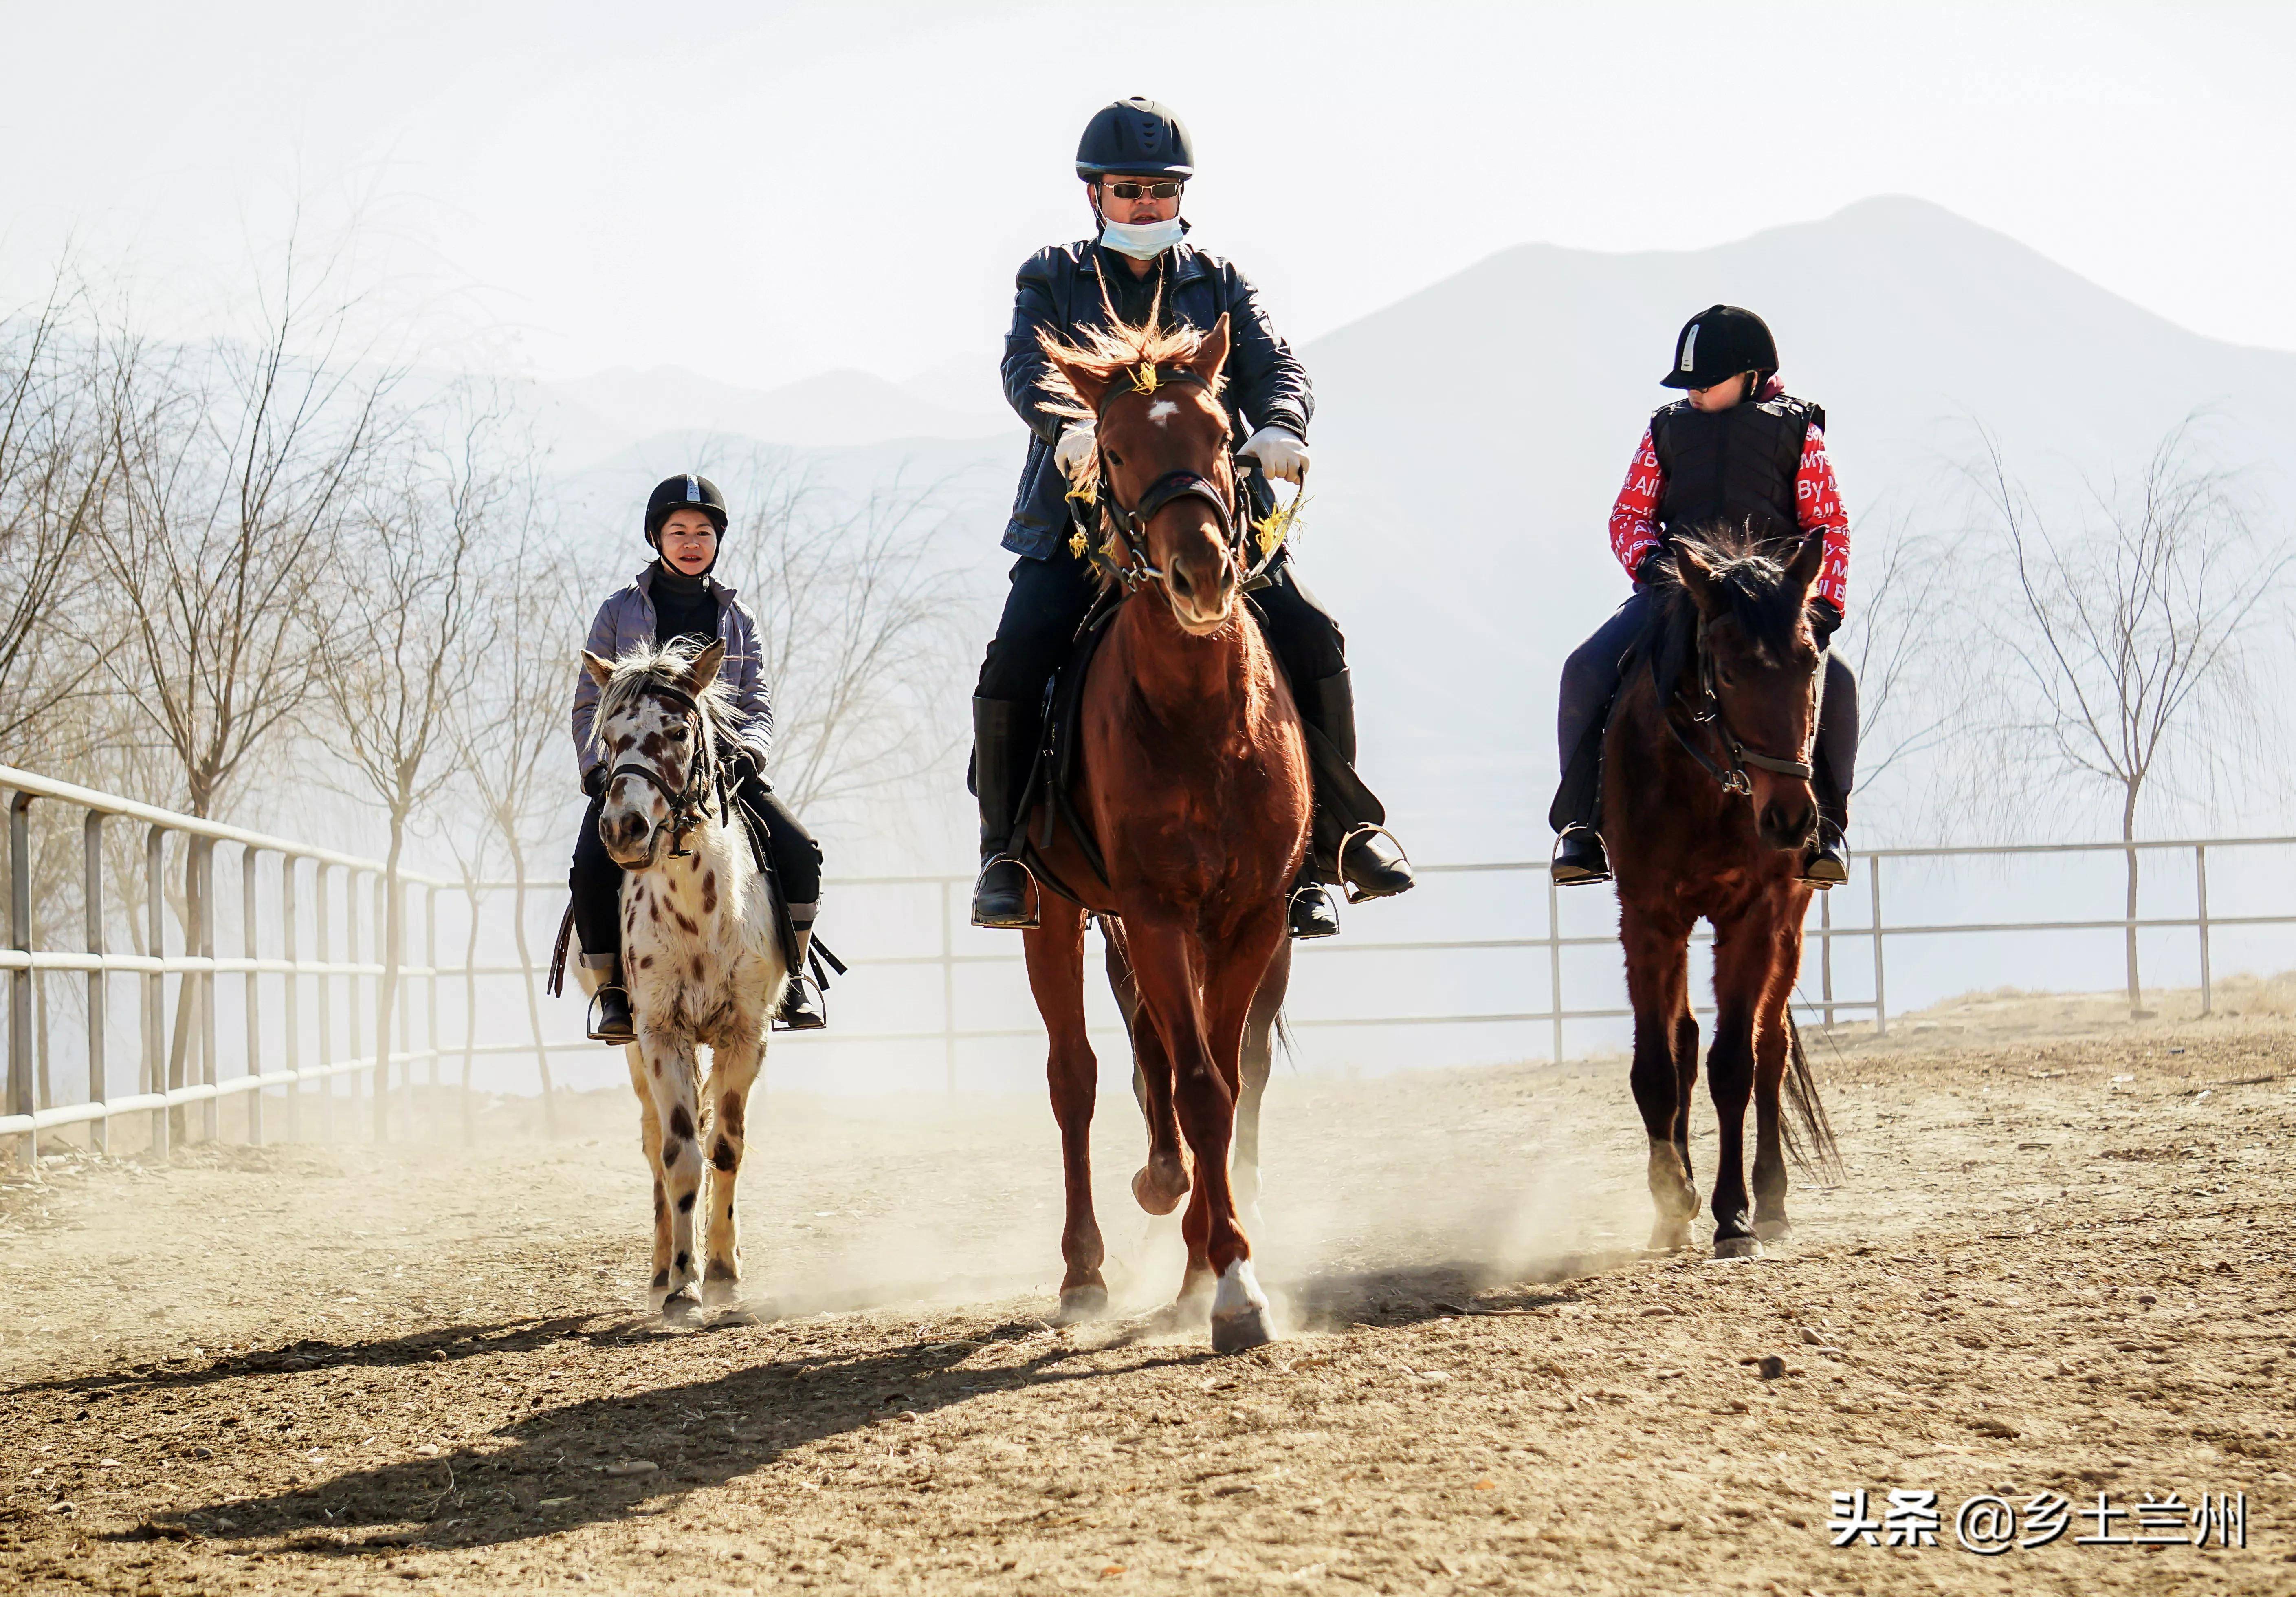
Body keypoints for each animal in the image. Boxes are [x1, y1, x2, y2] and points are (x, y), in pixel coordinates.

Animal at [578, 643, 794, 1314]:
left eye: (677, 731)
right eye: (610, 737)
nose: (623, 828)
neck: (697, 911)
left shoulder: (745, 1034)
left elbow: (725, 1146)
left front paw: (722, 1270)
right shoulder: (660, 1033)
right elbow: (679, 1155)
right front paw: (683, 1282)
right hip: (631, 1047)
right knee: (655, 1144)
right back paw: (659, 1274)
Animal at [1024, 310, 1313, 1351]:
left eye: (1224, 435)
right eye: (1111, 449)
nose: (1200, 574)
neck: (1199, 718)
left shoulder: (1253, 915)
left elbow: (1220, 1082)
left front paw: (1215, 1265)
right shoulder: (1150, 912)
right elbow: (1193, 1088)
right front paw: (1227, 1281)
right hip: (1052, 914)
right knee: (1074, 1077)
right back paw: (1084, 1268)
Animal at [1598, 524, 1846, 1259]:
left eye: (1809, 664)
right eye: (1729, 671)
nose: (1791, 819)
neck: (1705, 782)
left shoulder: (1754, 917)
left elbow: (1735, 1063)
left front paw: (1732, 1214)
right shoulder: (1649, 917)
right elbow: (1658, 1063)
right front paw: (1671, 1195)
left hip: (1790, 926)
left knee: (1771, 1051)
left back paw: (1772, 1204)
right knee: (1683, 1040)